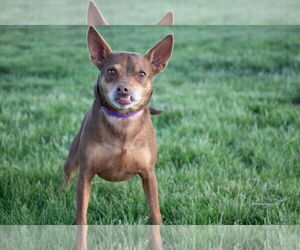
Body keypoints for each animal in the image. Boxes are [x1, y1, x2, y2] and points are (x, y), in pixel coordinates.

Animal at [61, 25, 173, 225]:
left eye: (141, 74)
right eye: (111, 71)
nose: (123, 89)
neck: (123, 121)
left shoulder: (148, 174)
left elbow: (155, 212)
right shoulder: (86, 174)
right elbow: (81, 215)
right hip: (72, 159)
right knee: (67, 174)